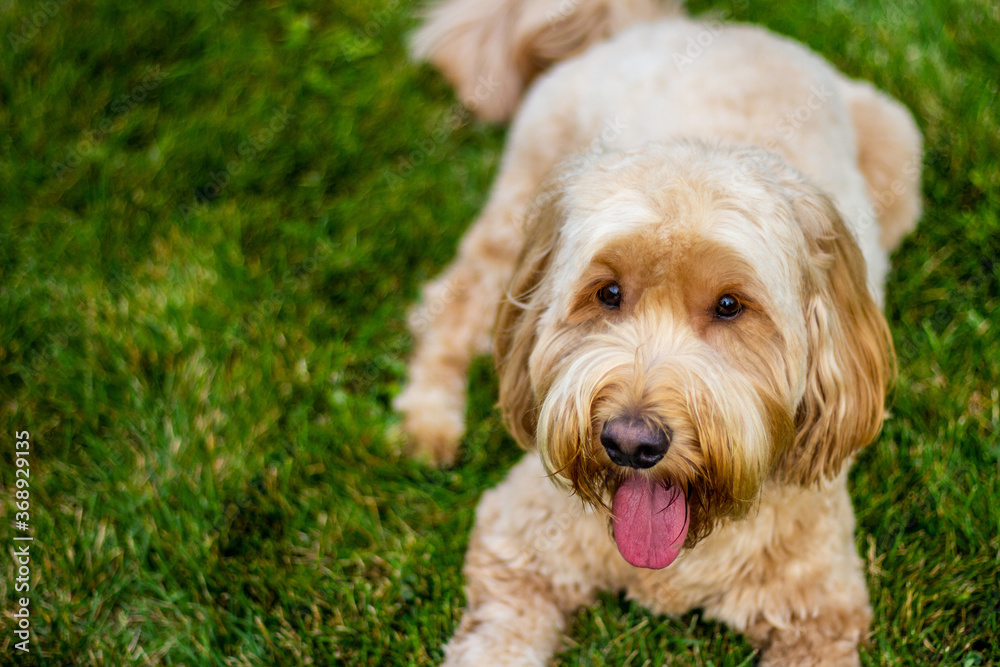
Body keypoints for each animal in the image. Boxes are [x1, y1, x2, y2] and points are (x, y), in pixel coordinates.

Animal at [396, 0, 920, 664]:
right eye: (608, 293)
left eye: (730, 306)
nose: (630, 443)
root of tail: (655, 22)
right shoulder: (515, 548)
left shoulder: (822, 613)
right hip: (519, 198)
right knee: (452, 303)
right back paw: (428, 419)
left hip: (899, 144)